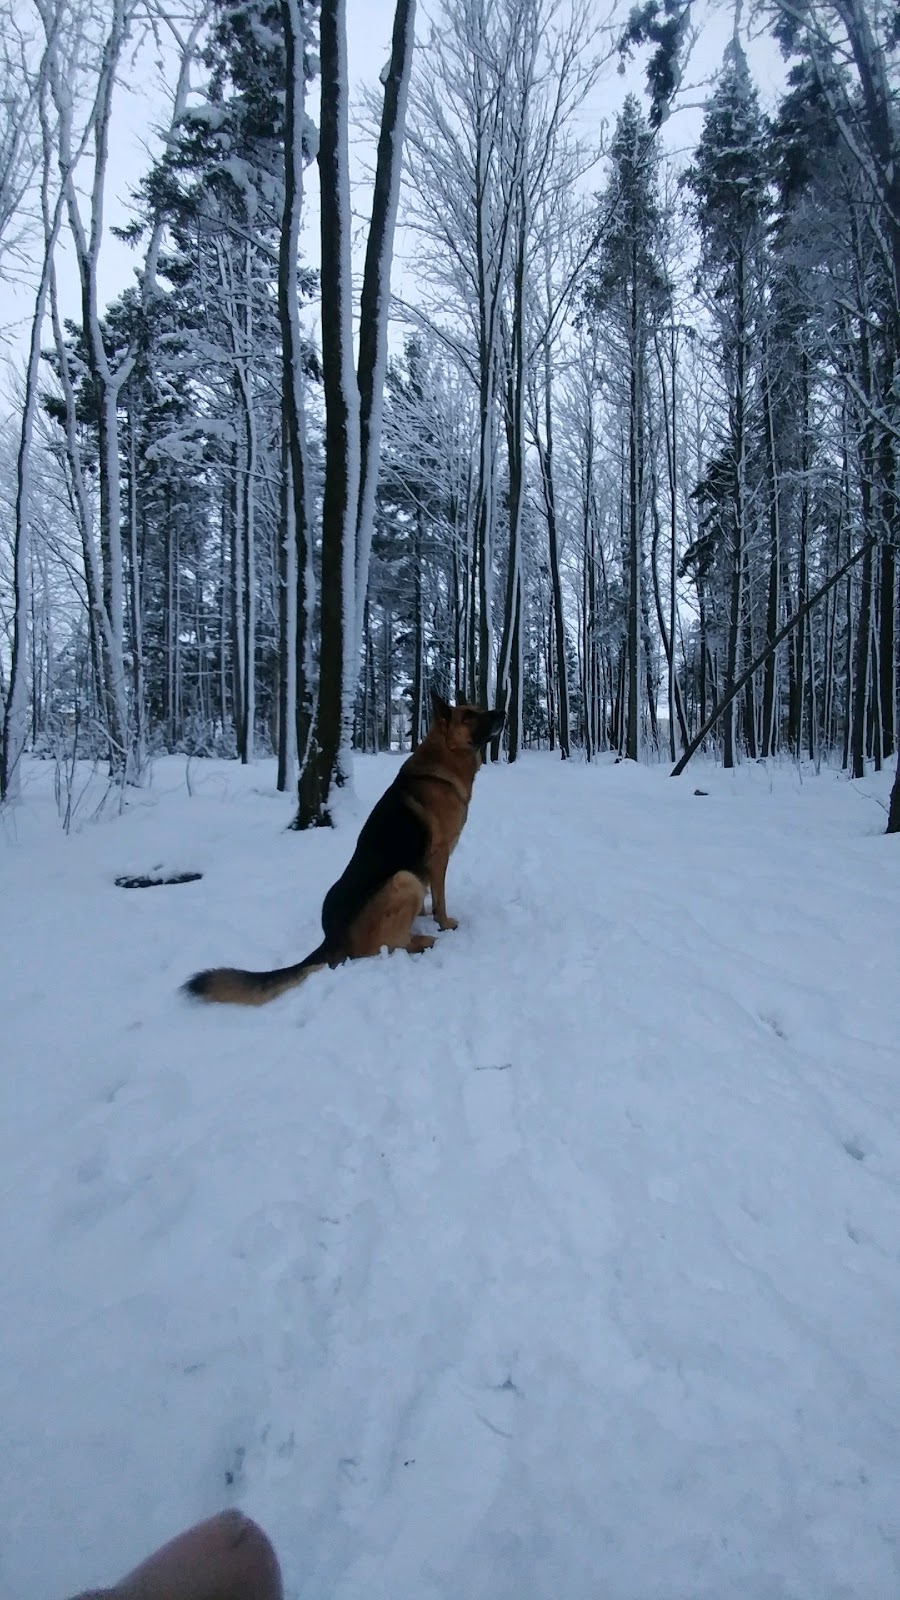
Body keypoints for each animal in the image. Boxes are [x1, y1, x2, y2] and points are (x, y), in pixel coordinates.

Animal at [182, 694, 506, 1004]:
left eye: (478, 709)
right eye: (469, 715)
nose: (502, 713)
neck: (444, 758)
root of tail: (332, 939)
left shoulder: (426, 866)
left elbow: (430, 899)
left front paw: (425, 916)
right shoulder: (438, 857)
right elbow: (439, 899)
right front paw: (444, 923)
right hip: (404, 880)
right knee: (389, 946)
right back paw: (423, 941)